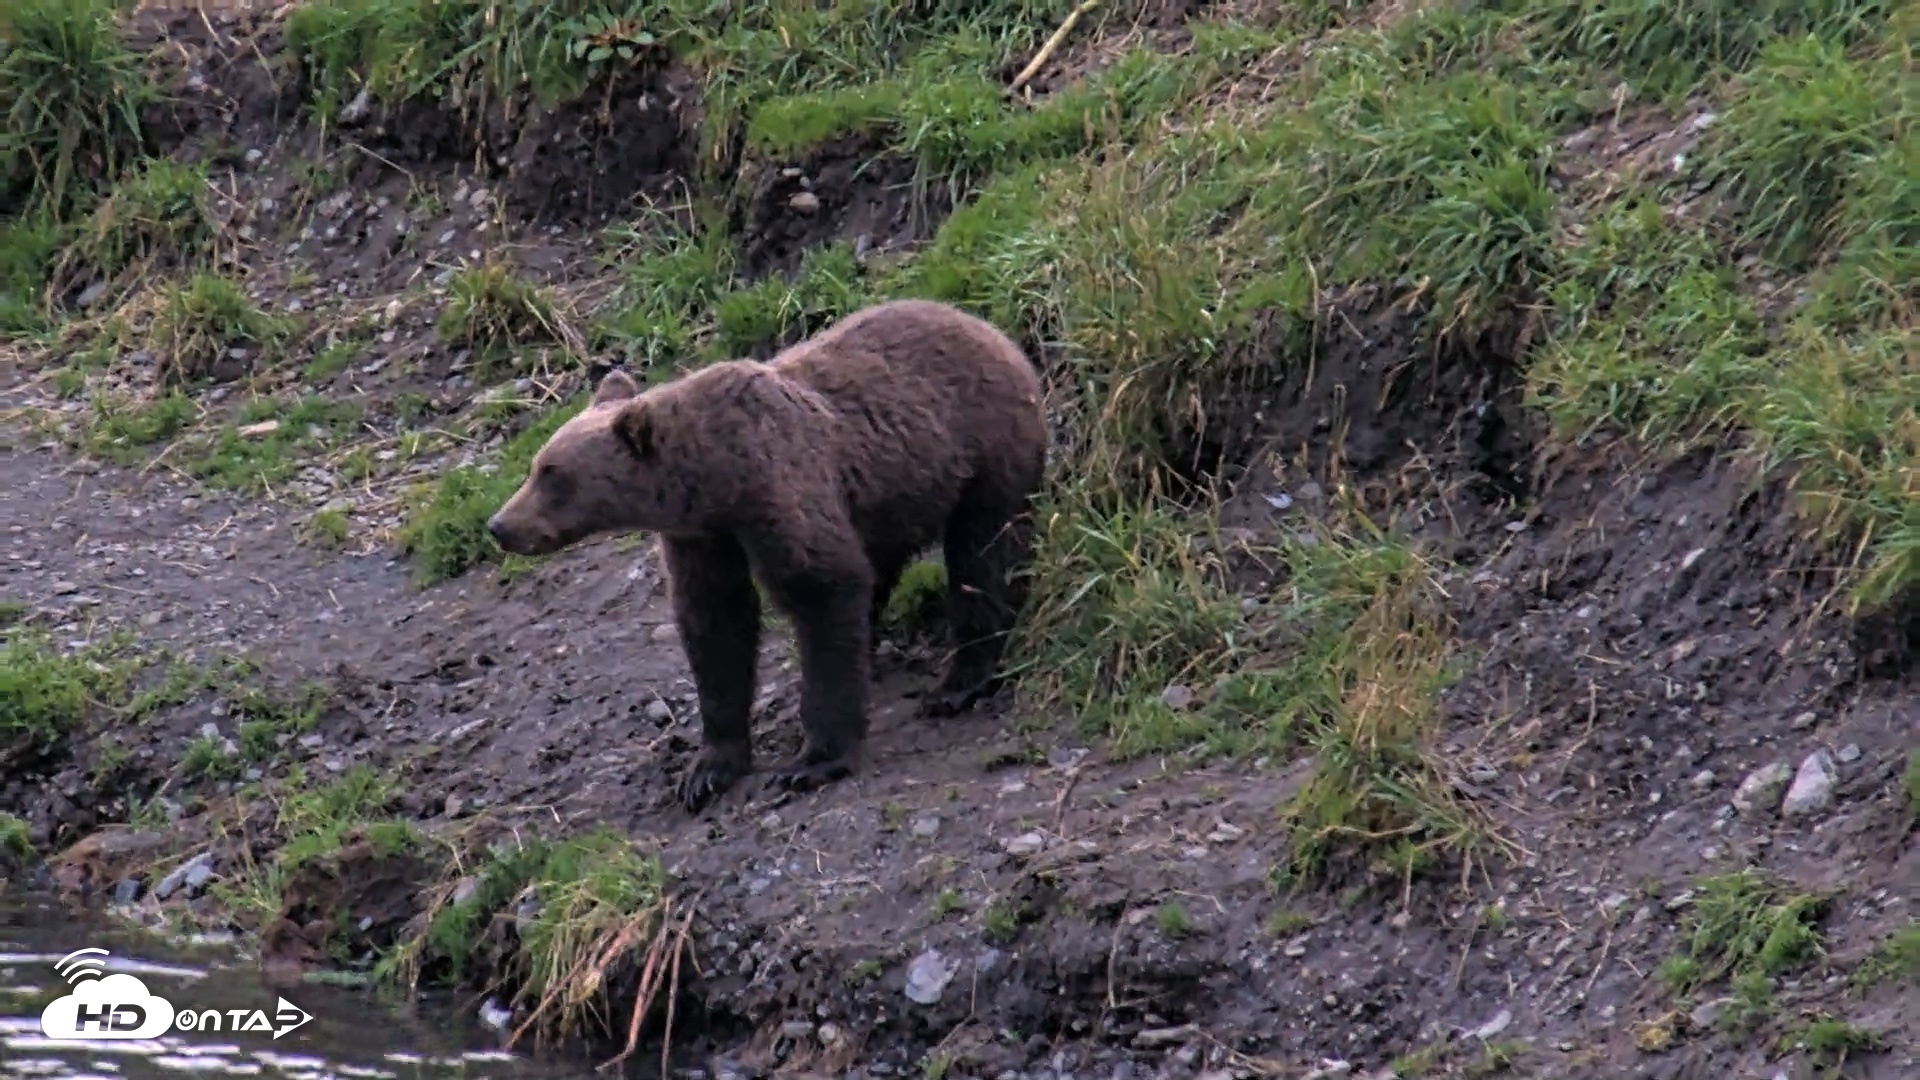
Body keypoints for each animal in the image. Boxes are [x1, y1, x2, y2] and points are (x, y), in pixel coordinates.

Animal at [486, 298, 1048, 811]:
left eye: (553, 474)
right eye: (536, 466)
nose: (499, 526)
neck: (713, 478)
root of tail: (991, 330)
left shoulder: (777, 486)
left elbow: (822, 590)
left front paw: (813, 759)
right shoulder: (703, 538)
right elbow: (716, 627)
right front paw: (707, 769)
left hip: (985, 449)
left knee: (982, 556)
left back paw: (958, 682)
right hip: (884, 502)